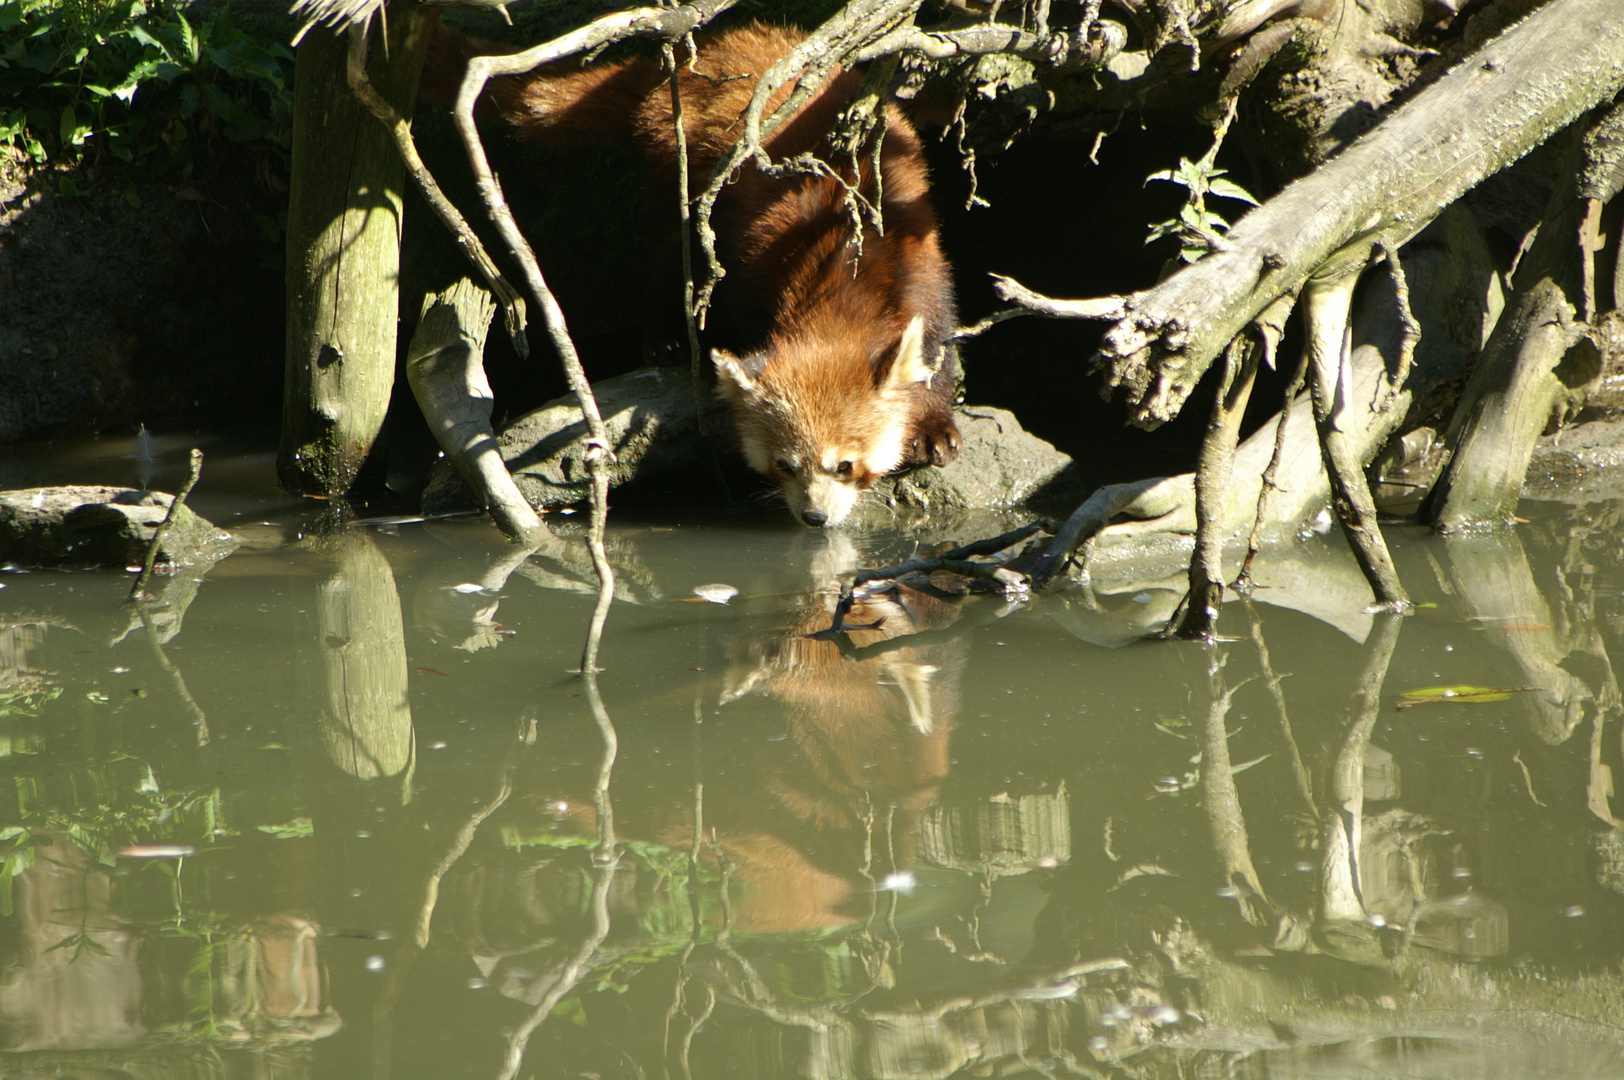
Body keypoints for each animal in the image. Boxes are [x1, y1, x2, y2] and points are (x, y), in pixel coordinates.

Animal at [425, 21, 967, 526]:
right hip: (677, 167)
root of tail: (699, 54)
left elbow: (937, 348)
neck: (842, 277)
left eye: (846, 466)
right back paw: (666, 338)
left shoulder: (919, 258)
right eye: (784, 465)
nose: (814, 516)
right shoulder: (755, 265)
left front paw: (934, 427)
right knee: (672, 252)